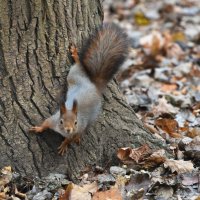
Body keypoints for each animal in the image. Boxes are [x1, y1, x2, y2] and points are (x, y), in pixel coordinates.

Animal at [29, 23, 130, 155]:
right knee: (79, 65)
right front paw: (38, 128)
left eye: (76, 122)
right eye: (61, 121)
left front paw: (65, 144)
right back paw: (75, 55)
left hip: (89, 108)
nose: (69, 129)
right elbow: (45, 123)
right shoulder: (53, 120)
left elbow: (70, 139)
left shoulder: (78, 127)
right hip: (74, 75)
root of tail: (93, 85)